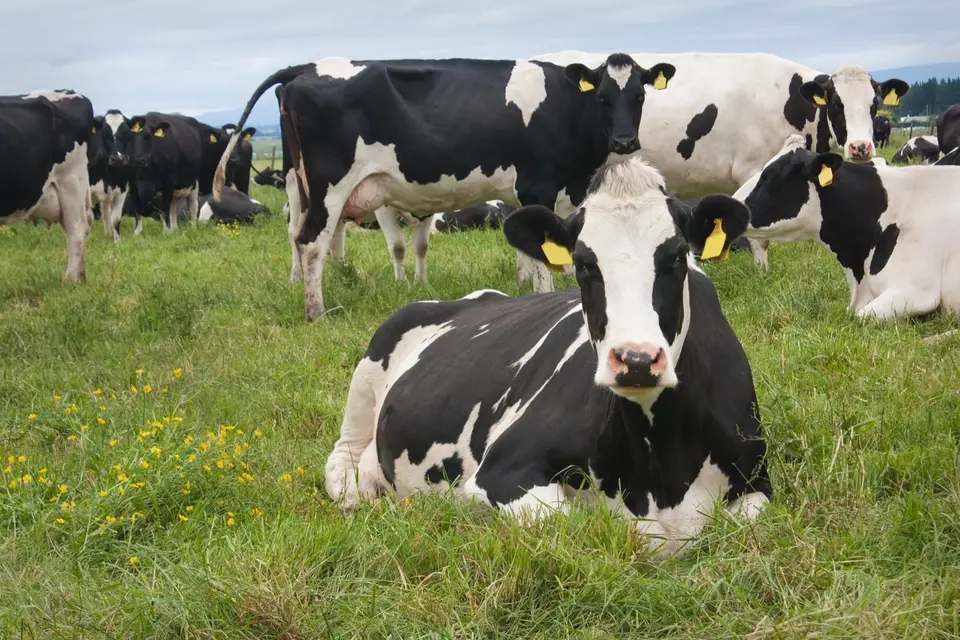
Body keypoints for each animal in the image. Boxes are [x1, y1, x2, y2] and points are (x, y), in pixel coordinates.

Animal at [88, 109, 131, 242]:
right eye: (104, 134)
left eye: (127, 134)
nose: (118, 159)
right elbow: (89, 218)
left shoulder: (122, 190)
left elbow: (115, 218)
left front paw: (117, 240)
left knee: (106, 215)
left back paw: (108, 234)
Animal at [213, 54, 677, 321]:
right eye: (602, 96)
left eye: (639, 96)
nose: (625, 141)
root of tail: (307, 67)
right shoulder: (538, 185)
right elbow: (542, 260)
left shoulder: (523, 194)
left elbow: (525, 250)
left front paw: (522, 287)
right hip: (330, 184)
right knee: (311, 242)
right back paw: (318, 313)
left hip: (303, 185)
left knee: (299, 235)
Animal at [323, 156, 771, 559]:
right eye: (583, 263)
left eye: (678, 256)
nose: (637, 360)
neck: (659, 469)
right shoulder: (500, 472)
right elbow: (570, 523)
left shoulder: (757, 484)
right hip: (366, 378)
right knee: (342, 459)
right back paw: (358, 493)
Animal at [532, 50, 909, 269]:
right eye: (836, 104)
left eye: (874, 104)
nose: (861, 147)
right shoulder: (753, 168)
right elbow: (758, 234)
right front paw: (761, 273)